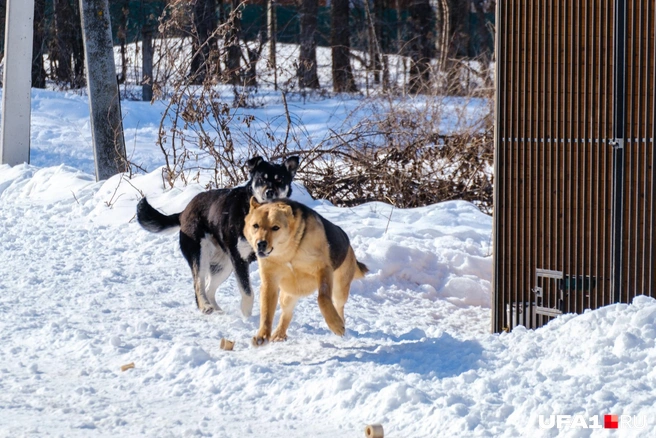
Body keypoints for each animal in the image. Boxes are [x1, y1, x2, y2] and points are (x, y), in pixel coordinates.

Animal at [136, 156, 300, 316]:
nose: (269, 192)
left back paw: (217, 310)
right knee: (199, 285)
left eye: (280, 180)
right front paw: (246, 317)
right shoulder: (240, 259)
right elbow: (247, 292)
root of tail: (184, 212)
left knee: (209, 288)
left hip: (224, 265)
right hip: (202, 255)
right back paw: (205, 306)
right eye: (261, 179)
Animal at [245, 198, 368, 346]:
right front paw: (262, 336)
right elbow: (266, 311)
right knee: (287, 312)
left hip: (340, 289)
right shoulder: (270, 281)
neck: (289, 251)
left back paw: (340, 322)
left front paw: (335, 324)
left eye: (275, 227)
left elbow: (322, 298)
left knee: (339, 306)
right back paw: (280, 333)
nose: (260, 244)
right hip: (289, 293)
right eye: (255, 226)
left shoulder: (323, 269)